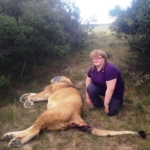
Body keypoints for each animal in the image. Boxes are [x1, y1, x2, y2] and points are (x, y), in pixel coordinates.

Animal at [1, 75, 146, 148]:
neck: (66, 81)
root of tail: (76, 116)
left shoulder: (47, 92)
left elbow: (36, 95)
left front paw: (27, 101)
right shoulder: (46, 94)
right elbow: (34, 94)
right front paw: (24, 97)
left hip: (47, 114)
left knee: (34, 130)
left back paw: (15, 141)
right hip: (47, 120)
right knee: (33, 128)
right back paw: (9, 136)